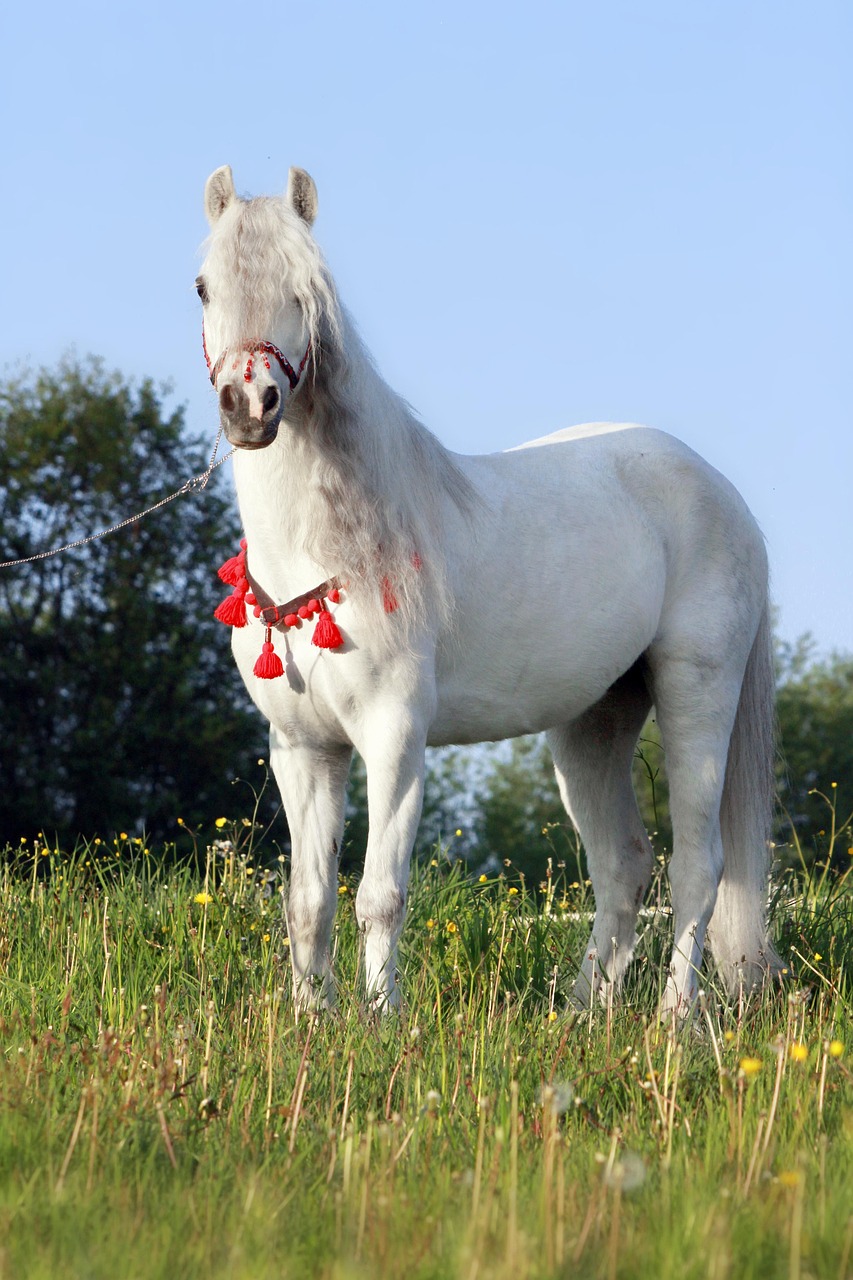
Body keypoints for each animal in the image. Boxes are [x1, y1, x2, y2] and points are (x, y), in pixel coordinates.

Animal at [197, 165, 778, 1013]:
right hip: (594, 722)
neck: (328, 548)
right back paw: (581, 1018)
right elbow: (309, 902)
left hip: (697, 692)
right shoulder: (303, 750)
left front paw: (381, 1022)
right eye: (203, 286)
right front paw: (311, 1020)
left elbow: (379, 895)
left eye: (306, 290)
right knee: (624, 867)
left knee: (698, 871)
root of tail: (723, 492)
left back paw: (671, 1022)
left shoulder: (395, 737)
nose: (249, 405)